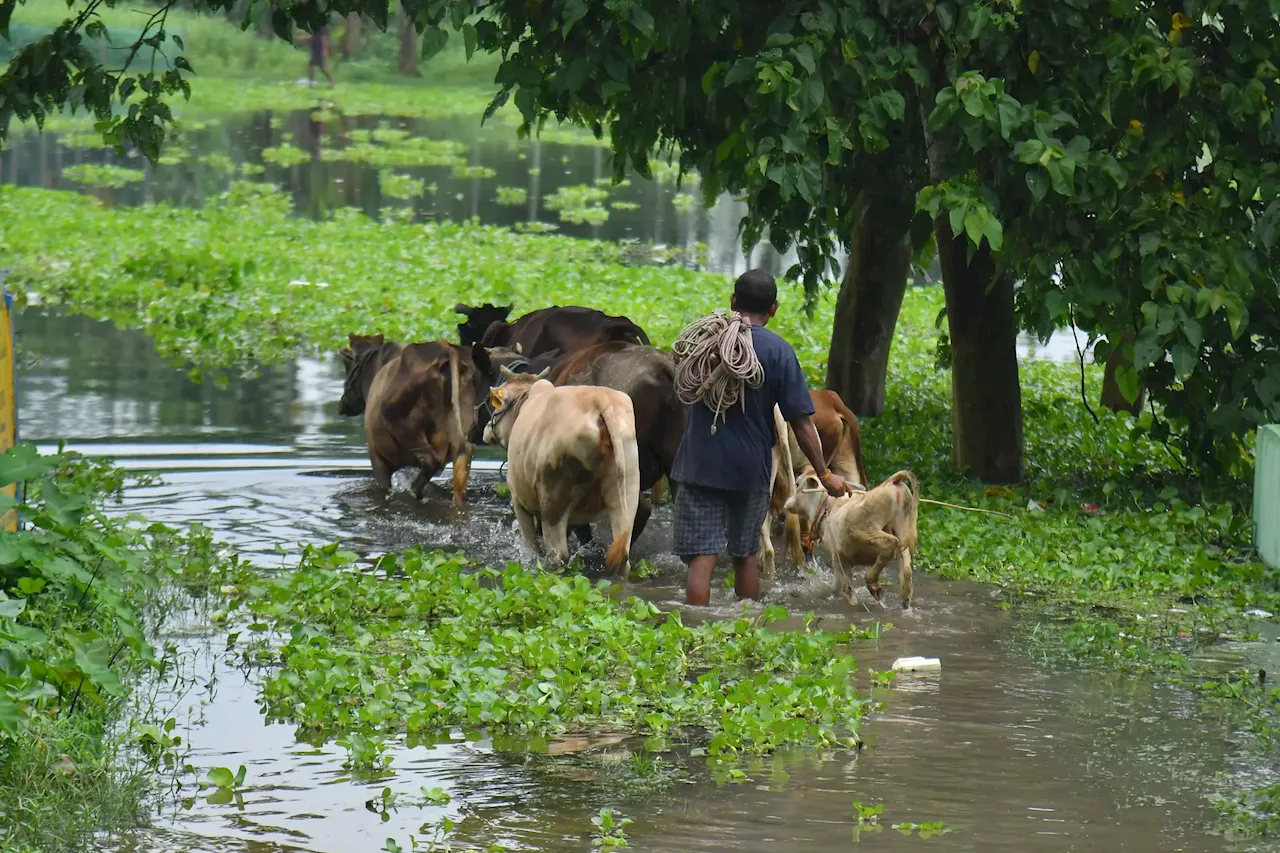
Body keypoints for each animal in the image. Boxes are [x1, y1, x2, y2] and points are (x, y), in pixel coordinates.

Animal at [340, 333, 488, 504]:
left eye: (347, 364)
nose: (342, 404)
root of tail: (446, 349)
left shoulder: (377, 457)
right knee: (462, 467)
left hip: (402, 424)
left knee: (431, 461)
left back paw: (414, 492)